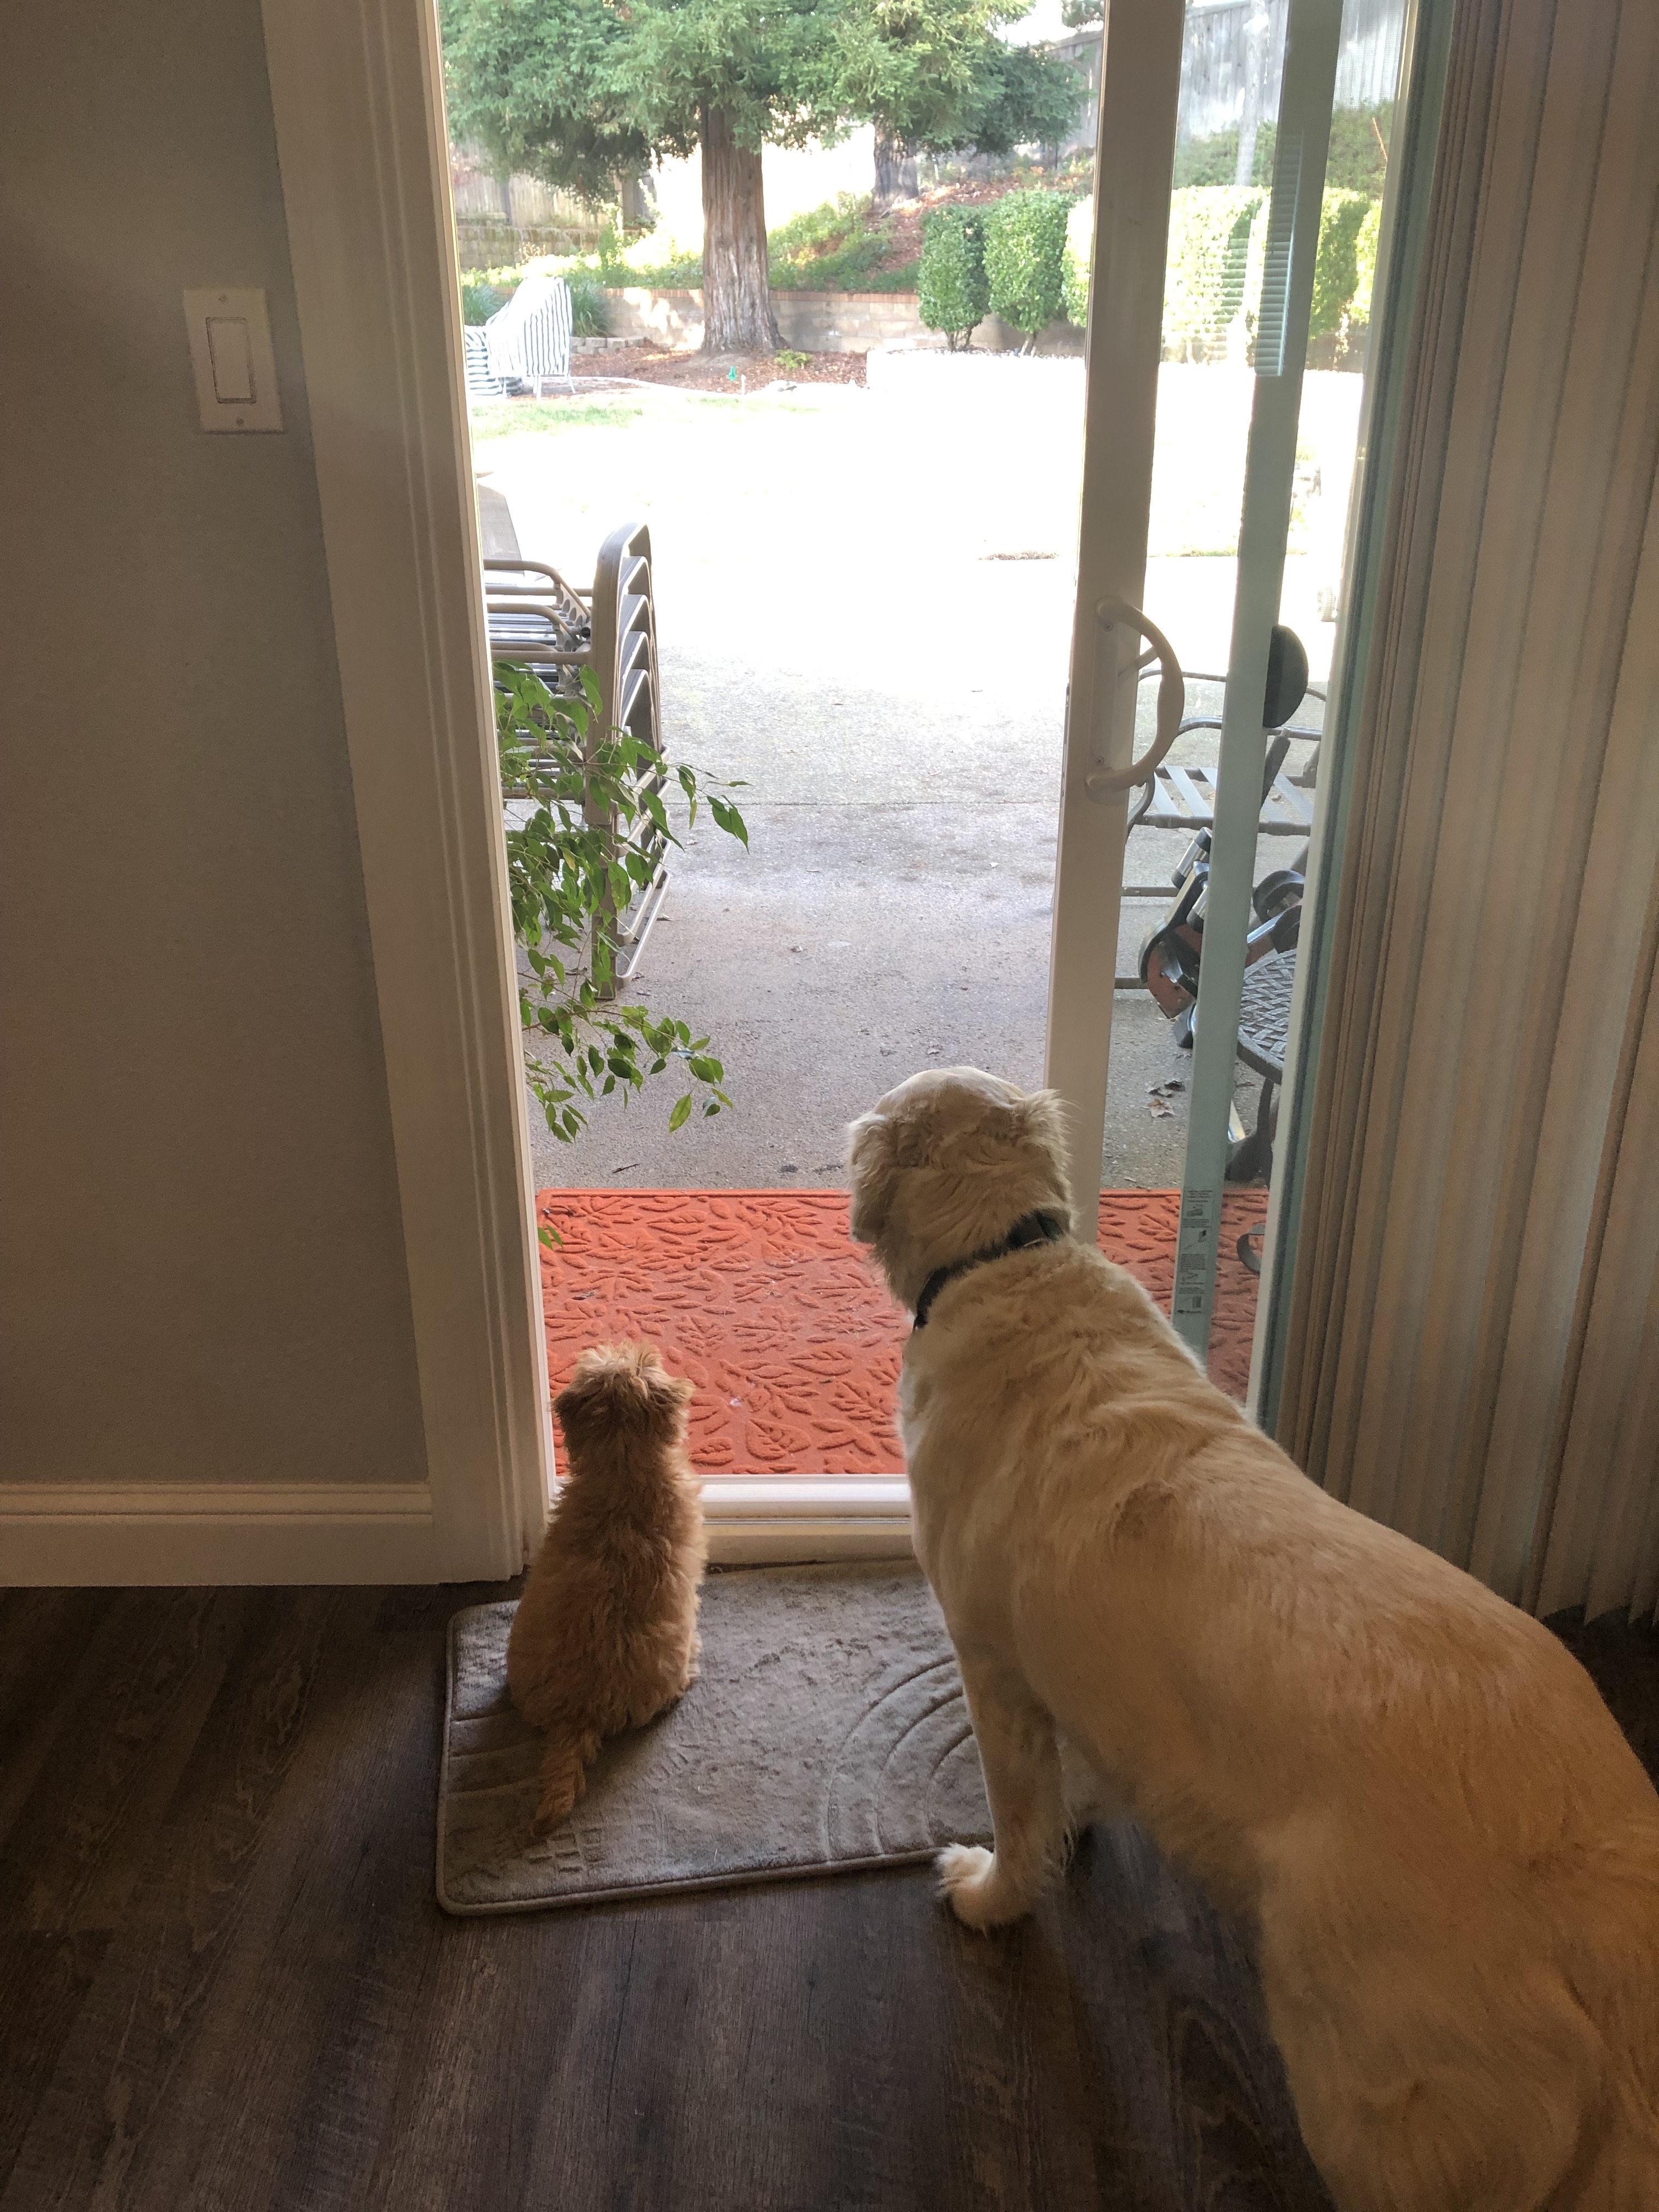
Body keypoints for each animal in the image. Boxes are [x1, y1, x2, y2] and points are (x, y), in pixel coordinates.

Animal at [847, 1065, 1659, 2212]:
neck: (1006, 1254)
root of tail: (1583, 1875)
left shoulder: (989, 1660)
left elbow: (1017, 1811)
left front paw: (990, 1893)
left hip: (1371, 2085)